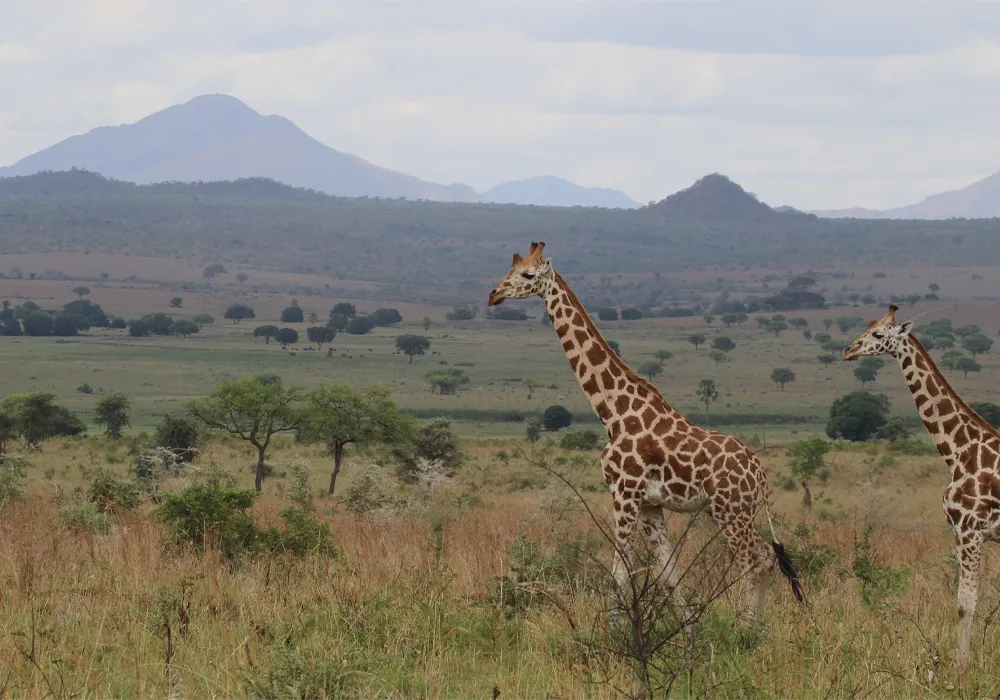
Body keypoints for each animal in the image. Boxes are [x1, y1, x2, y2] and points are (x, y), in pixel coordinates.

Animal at [488, 242, 802, 618]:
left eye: (527, 275)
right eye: (509, 271)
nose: (493, 295)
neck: (614, 414)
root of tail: (761, 475)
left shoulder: (625, 493)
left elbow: (619, 573)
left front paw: (611, 631)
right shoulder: (651, 504)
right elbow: (670, 575)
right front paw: (687, 627)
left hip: (730, 510)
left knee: (752, 560)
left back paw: (745, 625)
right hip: (738, 511)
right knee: (767, 556)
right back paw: (756, 625)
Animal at [844, 304, 1000, 682]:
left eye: (878, 334)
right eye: (868, 327)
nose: (848, 351)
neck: (959, 451)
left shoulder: (970, 532)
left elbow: (965, 604)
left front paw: (961, 673)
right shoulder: (965, 533)